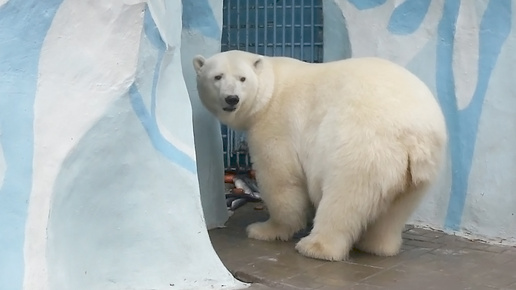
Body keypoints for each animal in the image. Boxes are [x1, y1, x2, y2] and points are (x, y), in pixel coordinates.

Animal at [191, 49, 446, 260]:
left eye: (242, 79)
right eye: (217, 77)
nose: (231, 98)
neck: (270, 90)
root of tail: (415, 133)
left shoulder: (277, 124)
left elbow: (281, 179)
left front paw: (266, 229)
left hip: (364, 144)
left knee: (344, 196)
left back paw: (316, 247)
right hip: (418, 170)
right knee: (396, 209)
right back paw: (377, 245)